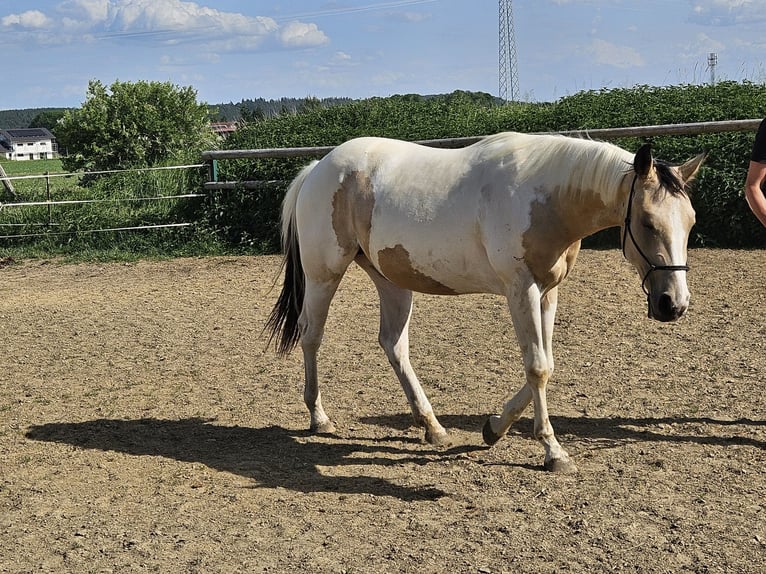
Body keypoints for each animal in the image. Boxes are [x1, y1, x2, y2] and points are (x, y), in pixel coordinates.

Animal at [266, 132, 705, 473]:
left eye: (691, 222)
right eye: (648, 222)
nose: (673, 304)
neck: (543, 197)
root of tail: (318, 168)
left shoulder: (548, 292)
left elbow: (545, 365)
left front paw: (494, 428)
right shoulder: (520, 290)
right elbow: (537, 367)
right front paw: (553, 452)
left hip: (391, 281)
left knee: (394, 345)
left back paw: (433, 427)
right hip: (324, 275)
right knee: (311, 335)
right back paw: (319, 418)